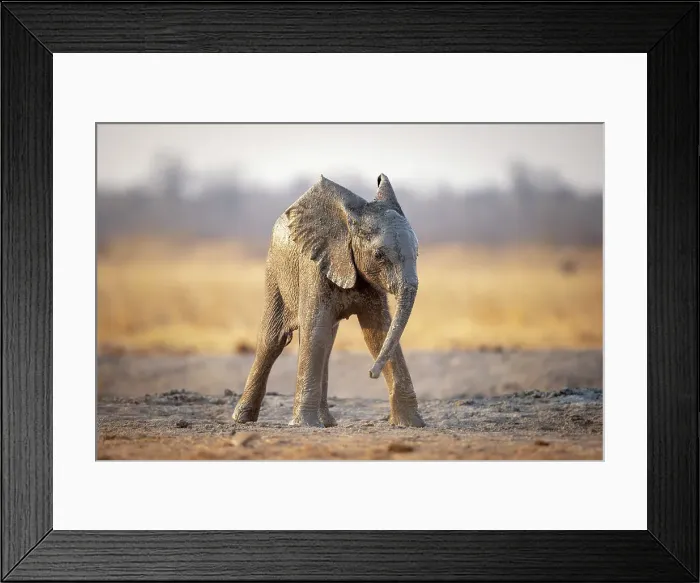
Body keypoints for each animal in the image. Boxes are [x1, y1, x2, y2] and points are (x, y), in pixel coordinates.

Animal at [232, 173, 425, 428]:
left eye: (418, 253)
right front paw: (303, 425)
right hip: (274, 269)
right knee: (273, 340)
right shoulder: (314, 266)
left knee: (327, 343)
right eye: (379, 256)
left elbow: (379, 333)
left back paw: (327, 423)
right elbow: (316, 331)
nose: (370, 374)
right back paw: (242, 419)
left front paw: (411, 424)